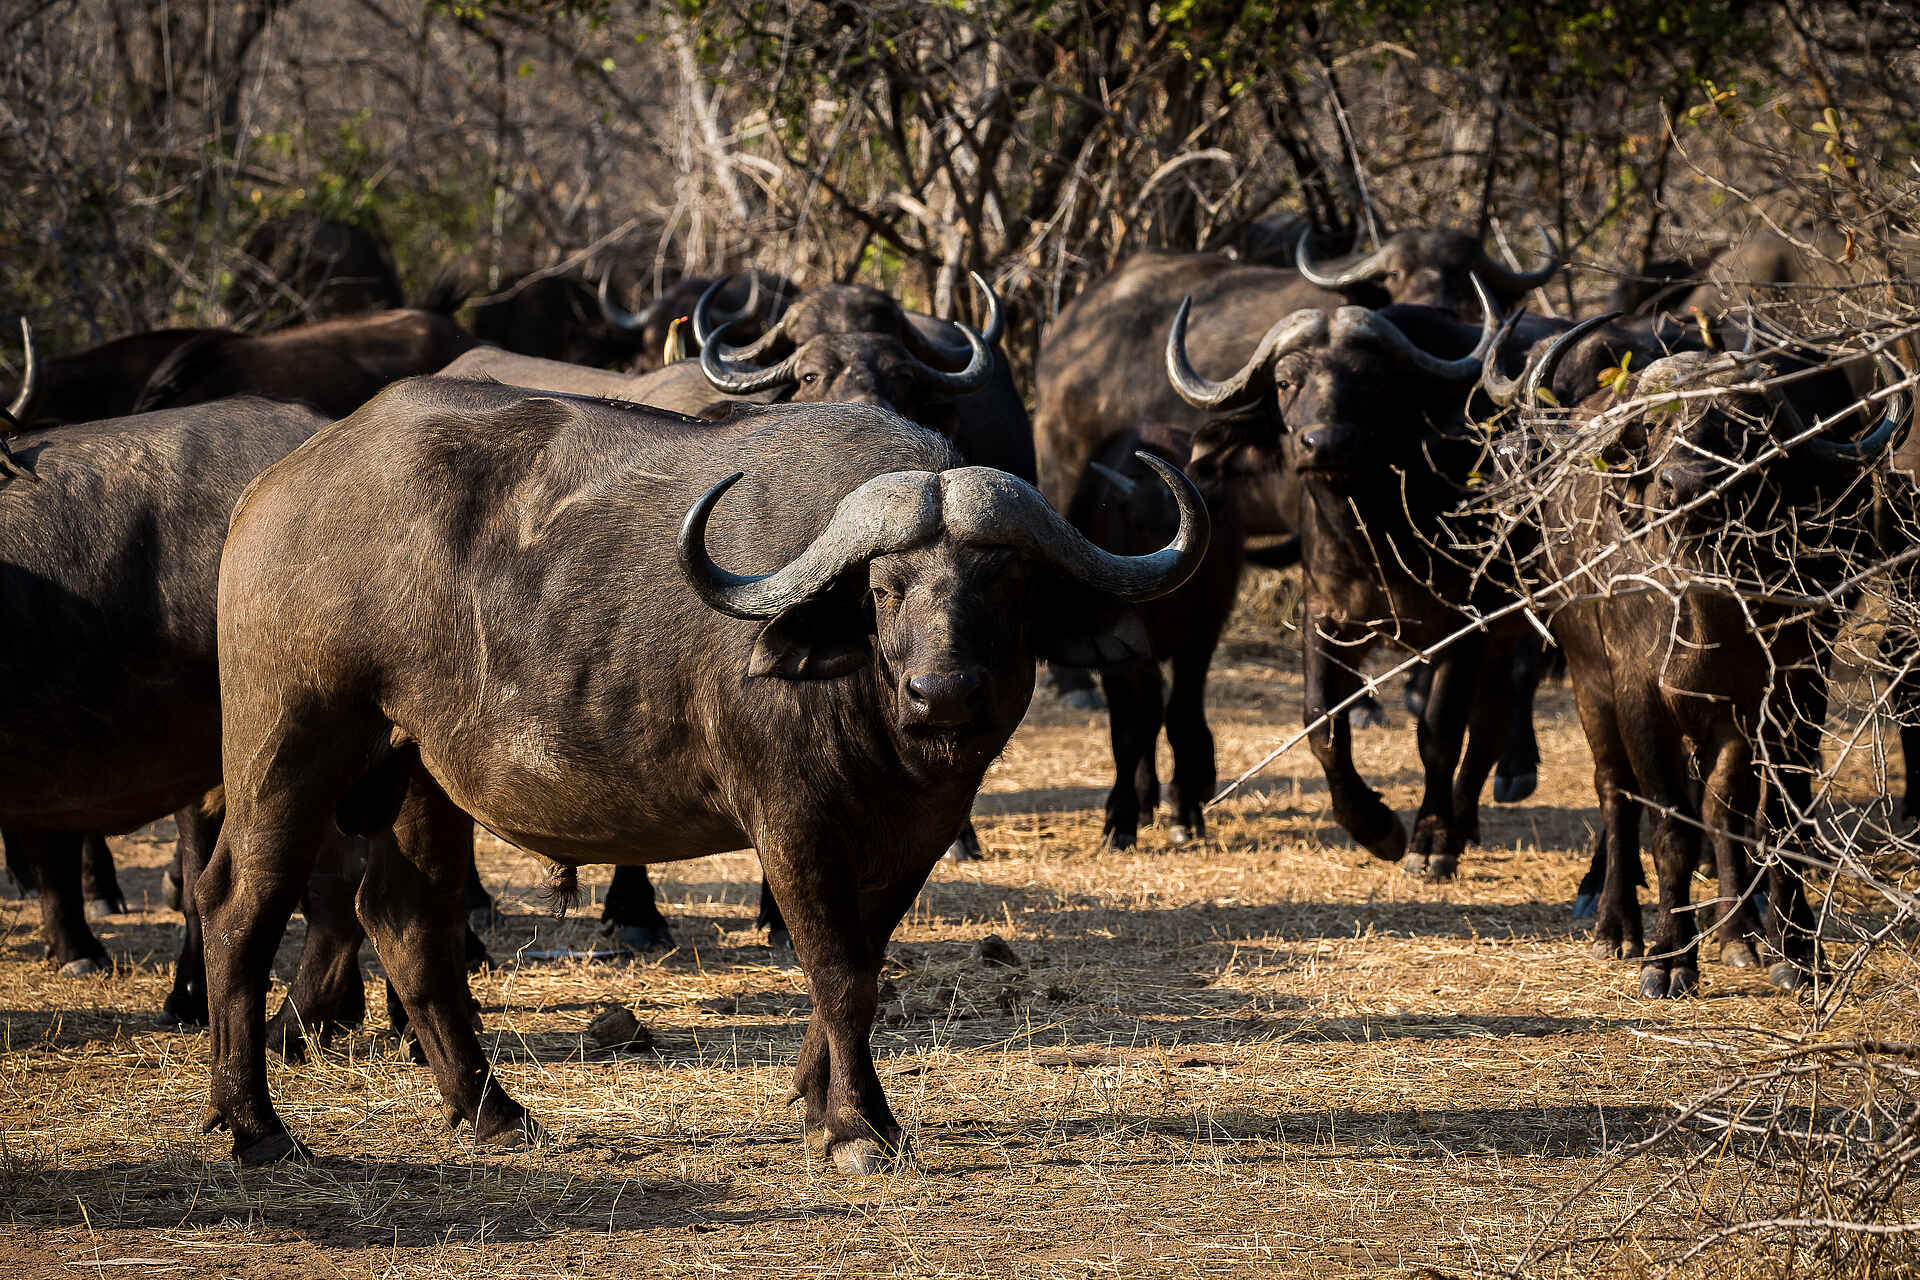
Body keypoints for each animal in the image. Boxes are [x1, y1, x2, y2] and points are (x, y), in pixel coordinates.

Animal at [198, 383, 1206, 1169]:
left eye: (1003, 583)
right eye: (884, 590)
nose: (944, 692)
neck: (873, 710)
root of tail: (273, 492)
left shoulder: (917, 834)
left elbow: (865, 964)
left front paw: (818, 1101)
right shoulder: (792, 822)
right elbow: (840, 970)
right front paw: (859, 1128)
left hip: (419, 775)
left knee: (407, 921)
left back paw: (493, 1113)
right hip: (289, 746)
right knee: (239, 907)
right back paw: (257, 1127)